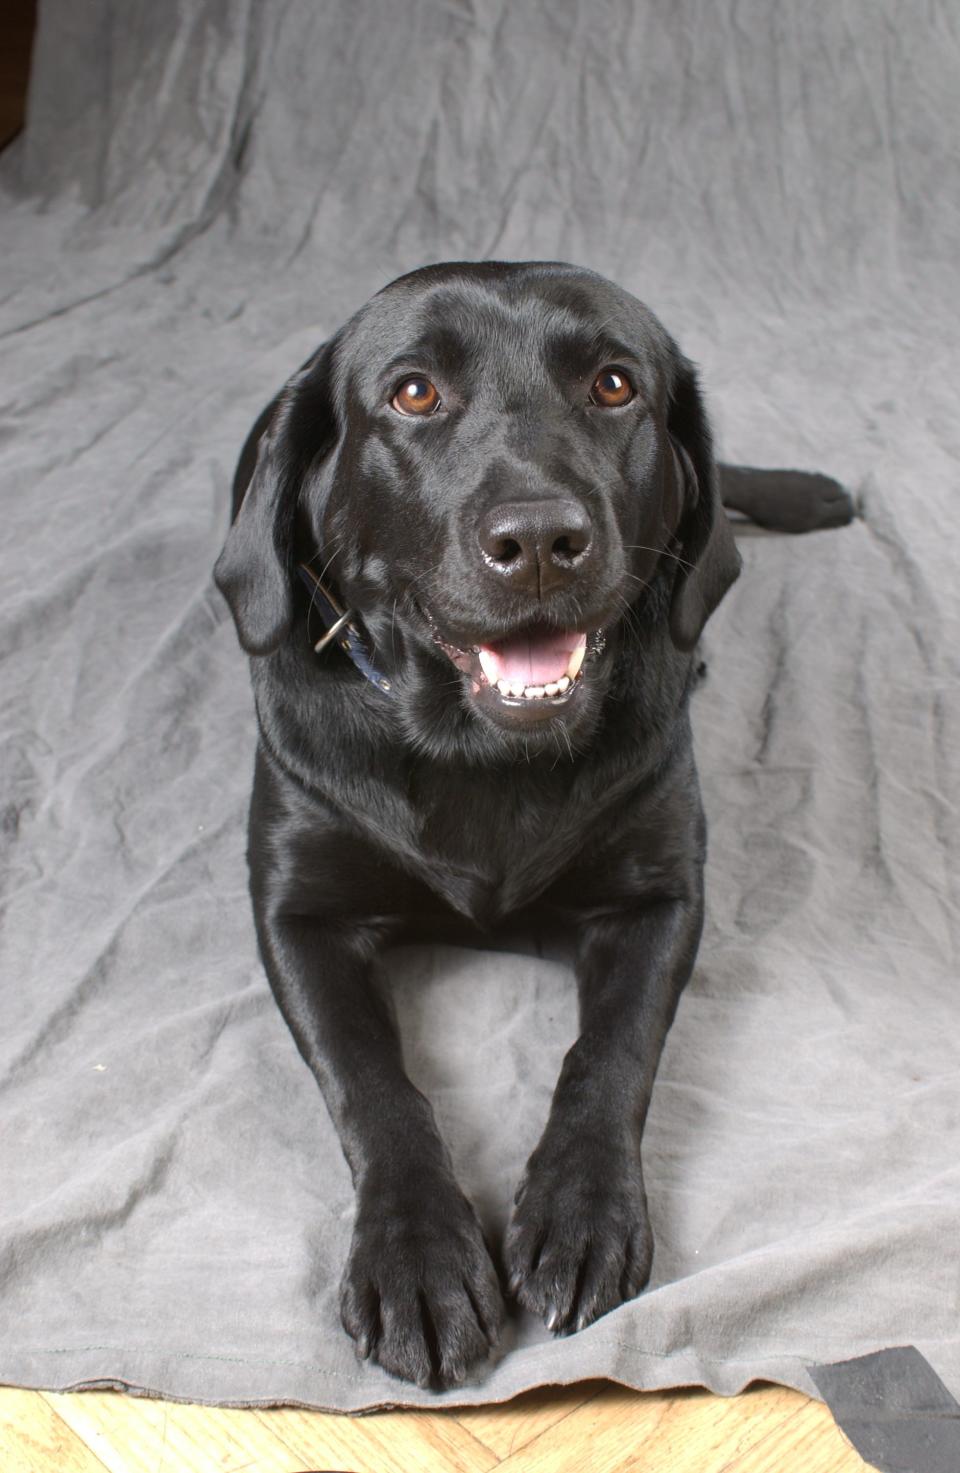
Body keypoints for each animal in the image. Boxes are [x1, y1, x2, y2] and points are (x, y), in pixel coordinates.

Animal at [213, 262, 853, 1378]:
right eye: (413, 392)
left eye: (613, 384)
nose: (542, 540)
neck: (478, 750)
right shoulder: (296, 913)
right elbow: (373, 1080)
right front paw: (418, 1259)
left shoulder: (661, 897)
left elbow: (612, 1053)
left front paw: (581, 1214)